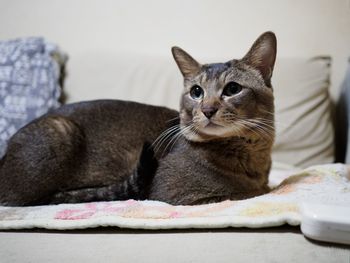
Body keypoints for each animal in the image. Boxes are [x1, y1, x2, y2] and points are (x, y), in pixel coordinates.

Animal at [0, 31, 276, 207]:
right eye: (196, 92)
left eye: (232, 89)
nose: (207, 109)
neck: (252, 158)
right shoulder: (174, 195)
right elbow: (247, 193)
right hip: (60, 130)